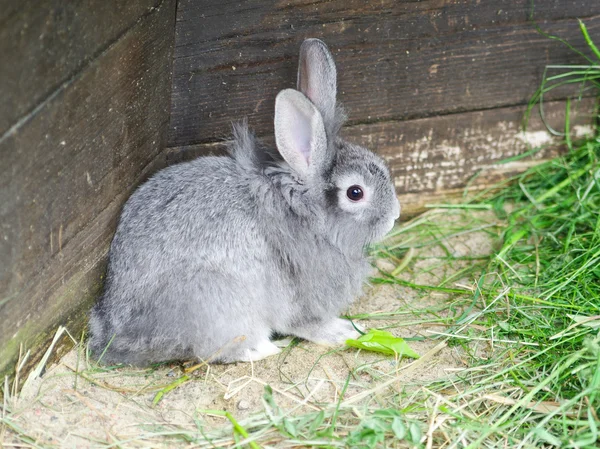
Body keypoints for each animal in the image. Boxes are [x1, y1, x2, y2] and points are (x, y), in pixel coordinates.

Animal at [88, 37, 398, 364]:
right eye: (355, 192)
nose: (395, 216)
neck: (303, 211)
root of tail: (117, 336)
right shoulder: (297, 298)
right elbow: (304, 323)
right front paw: (343, 331)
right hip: (218, 300)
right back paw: (263, 348)